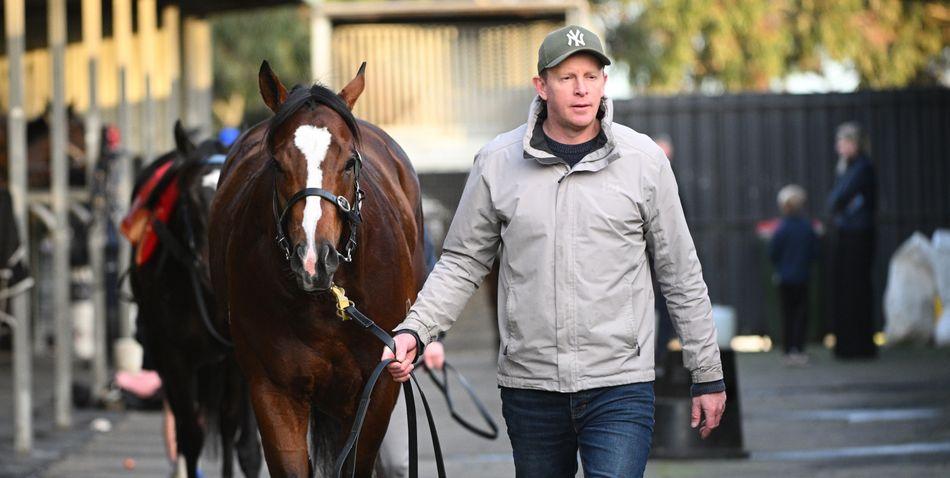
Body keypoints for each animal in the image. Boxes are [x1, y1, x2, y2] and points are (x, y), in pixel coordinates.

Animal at [125, 122, 264, 478]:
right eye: (189, 198)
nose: (212, 266)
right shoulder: (173, 358)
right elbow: (191, 436)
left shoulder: (241, 358)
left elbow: (244, 443)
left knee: (229, 426)